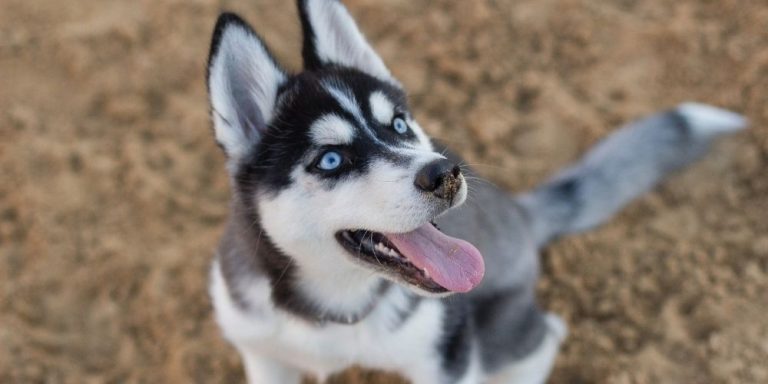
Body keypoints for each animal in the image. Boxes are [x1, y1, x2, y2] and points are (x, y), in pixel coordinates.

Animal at [207, 1, 748, 382]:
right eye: (331, 160)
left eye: (399, 124)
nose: (445, 172)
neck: (333, 310)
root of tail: (519, 212)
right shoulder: (263, 354)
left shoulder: (446, 357)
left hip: (497, 332)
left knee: (545, 335)